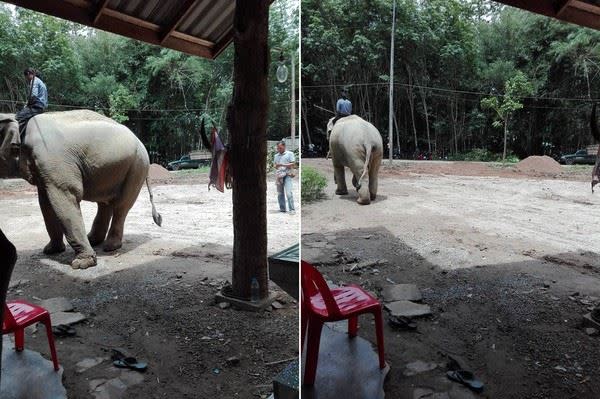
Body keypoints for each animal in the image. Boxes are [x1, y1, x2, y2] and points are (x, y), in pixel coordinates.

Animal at [0, 111, 162, 270]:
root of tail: (140, 142)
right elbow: (45, 203)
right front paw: (51, 250)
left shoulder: (54, 162)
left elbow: (65, 196)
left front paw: (82, 264)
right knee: (105, 204)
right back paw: (93, 240)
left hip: (136, 167)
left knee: (121, 206)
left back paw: (110, 246)